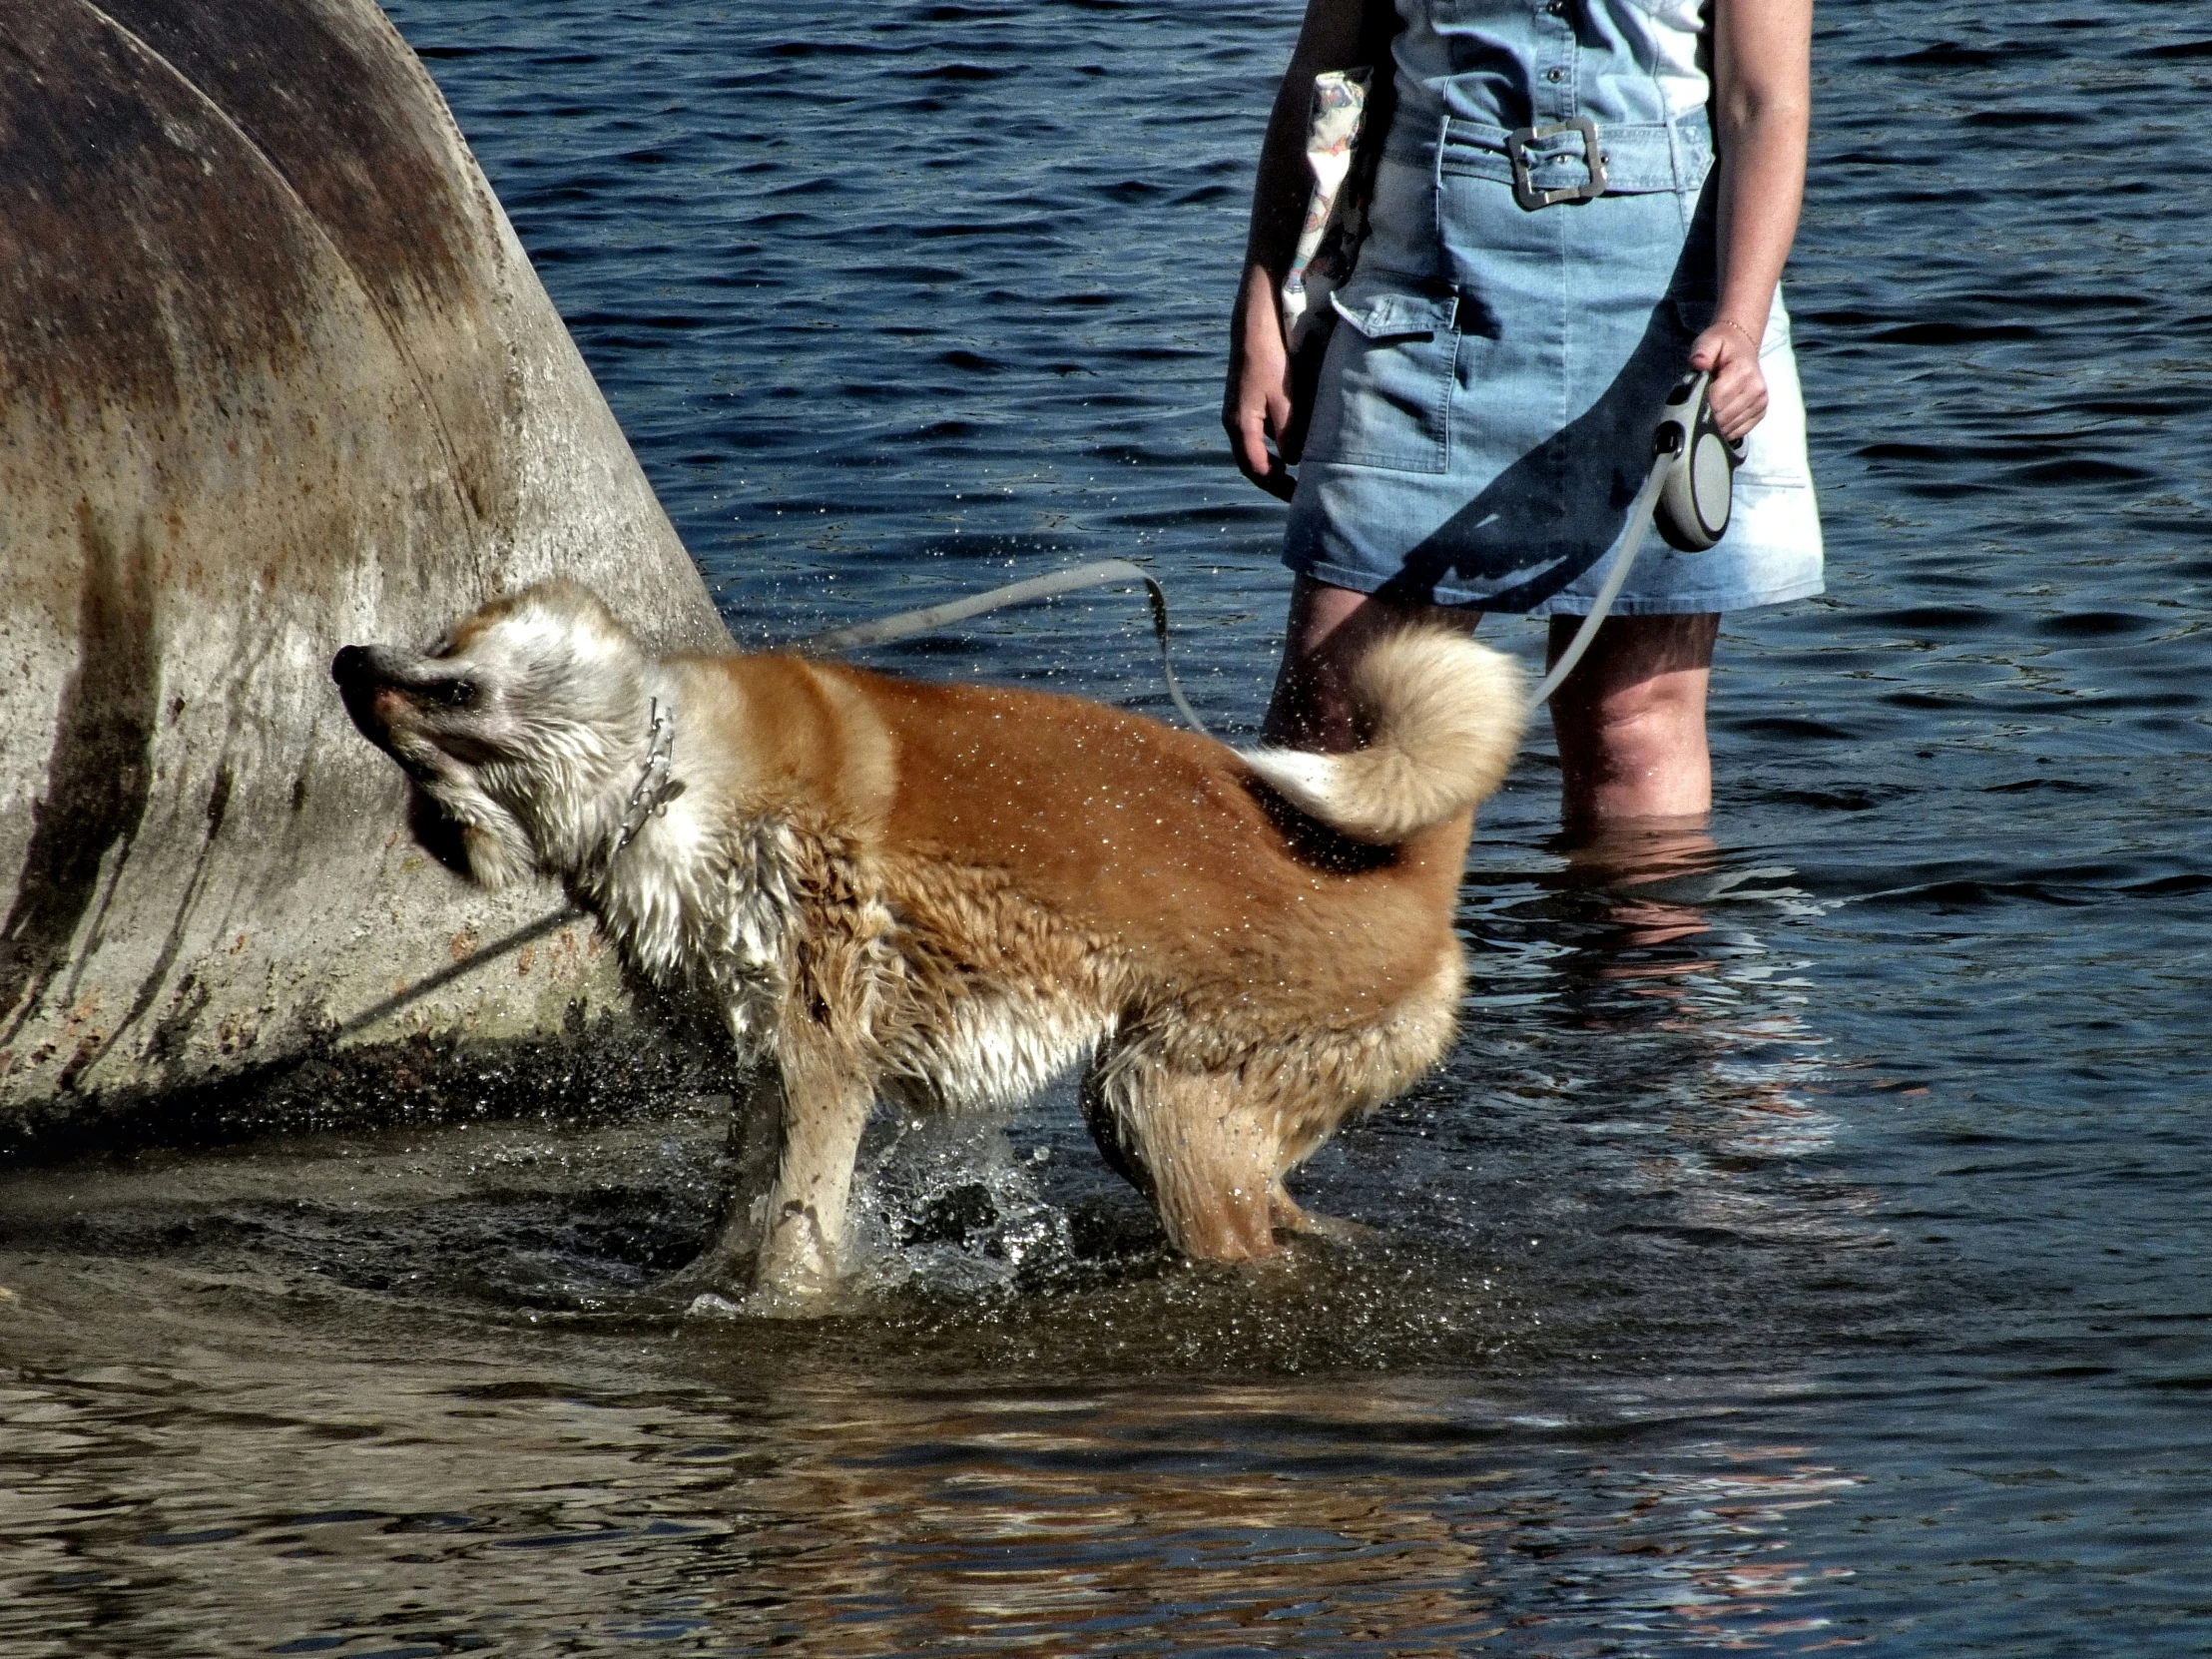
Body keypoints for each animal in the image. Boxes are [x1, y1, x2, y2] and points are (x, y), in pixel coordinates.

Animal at [335, 584, 1530, 1301]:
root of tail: (1410, 885)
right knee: (1286, 1211)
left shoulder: (823, 1061)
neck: (663, 776)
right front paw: (697, 1285)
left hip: (1162, 1100)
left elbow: (791, 1237)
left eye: (447, 668)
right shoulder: (764, 1062)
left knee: (1247, 1238)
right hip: (1186, 1115)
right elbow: (743, 1209)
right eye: (415, 773)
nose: (345, 661)